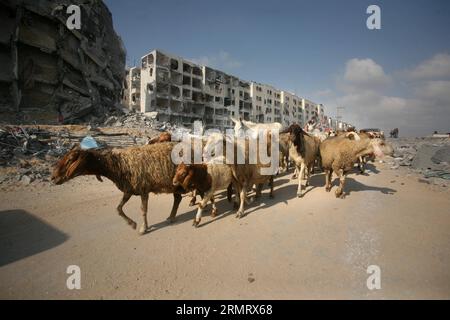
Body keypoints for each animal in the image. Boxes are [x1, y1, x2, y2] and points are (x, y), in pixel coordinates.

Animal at [51, 142, 185, 235]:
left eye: (70, 159)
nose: (53, 178)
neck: (118, 165)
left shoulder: (143, 188)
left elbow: (143, 210)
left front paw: (143, 228)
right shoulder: (129, 189)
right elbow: (118, 209)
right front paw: (132, 224)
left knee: (178, 198)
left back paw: (172, 217)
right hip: (175, 184)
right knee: (178, 198)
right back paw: (171, 217)